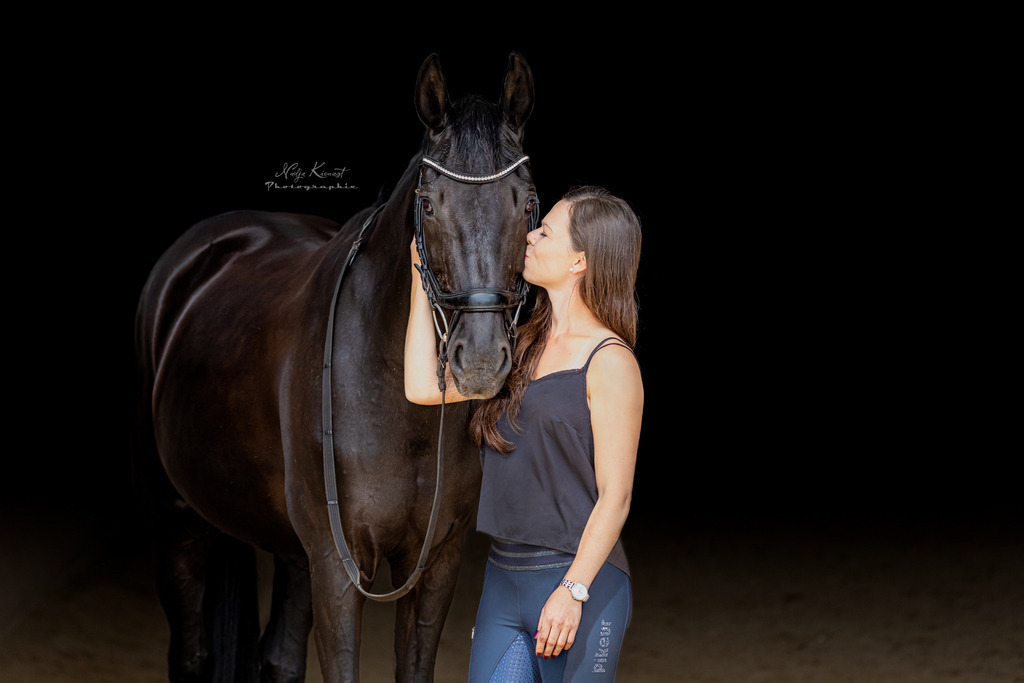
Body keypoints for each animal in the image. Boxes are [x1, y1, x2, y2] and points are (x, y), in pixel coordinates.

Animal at [133, 52, 537, 682]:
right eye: (428, 203)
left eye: (526, 200)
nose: (478, 360)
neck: (402, 407)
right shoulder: (337, 566)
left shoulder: (436, 561)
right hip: (179, 519)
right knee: (191, 652)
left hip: (290, 550)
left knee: (278, 656)